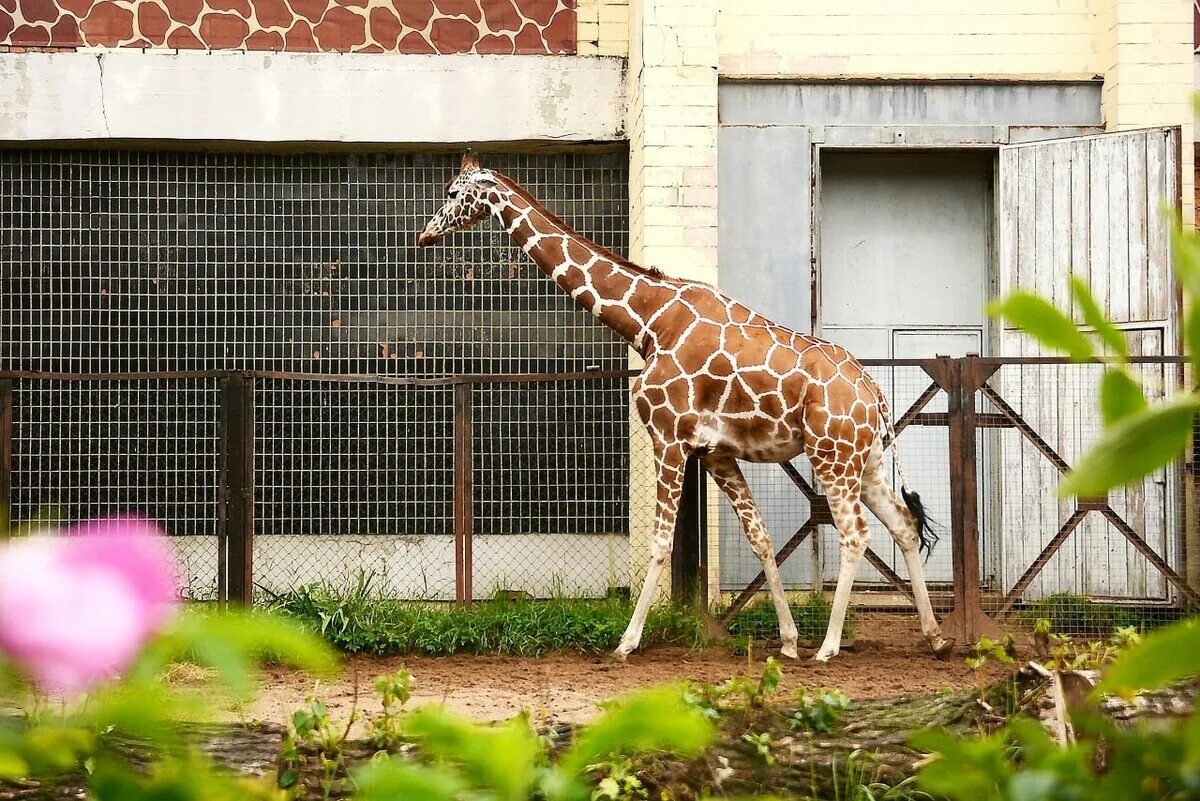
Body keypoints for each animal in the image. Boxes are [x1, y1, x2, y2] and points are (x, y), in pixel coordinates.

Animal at [417, 151, 950, 661]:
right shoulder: (716, 454)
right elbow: (759, 538)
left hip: (832, 457)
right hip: (868, 462)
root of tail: (874, 392)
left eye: (452, 192)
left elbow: (660, 541)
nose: (424, 234)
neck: (649, 321)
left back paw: (830, 646)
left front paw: (627, 641)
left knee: (856, 533)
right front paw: (787, 639)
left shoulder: (669, 439)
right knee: (902, 524)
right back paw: (934, 638)